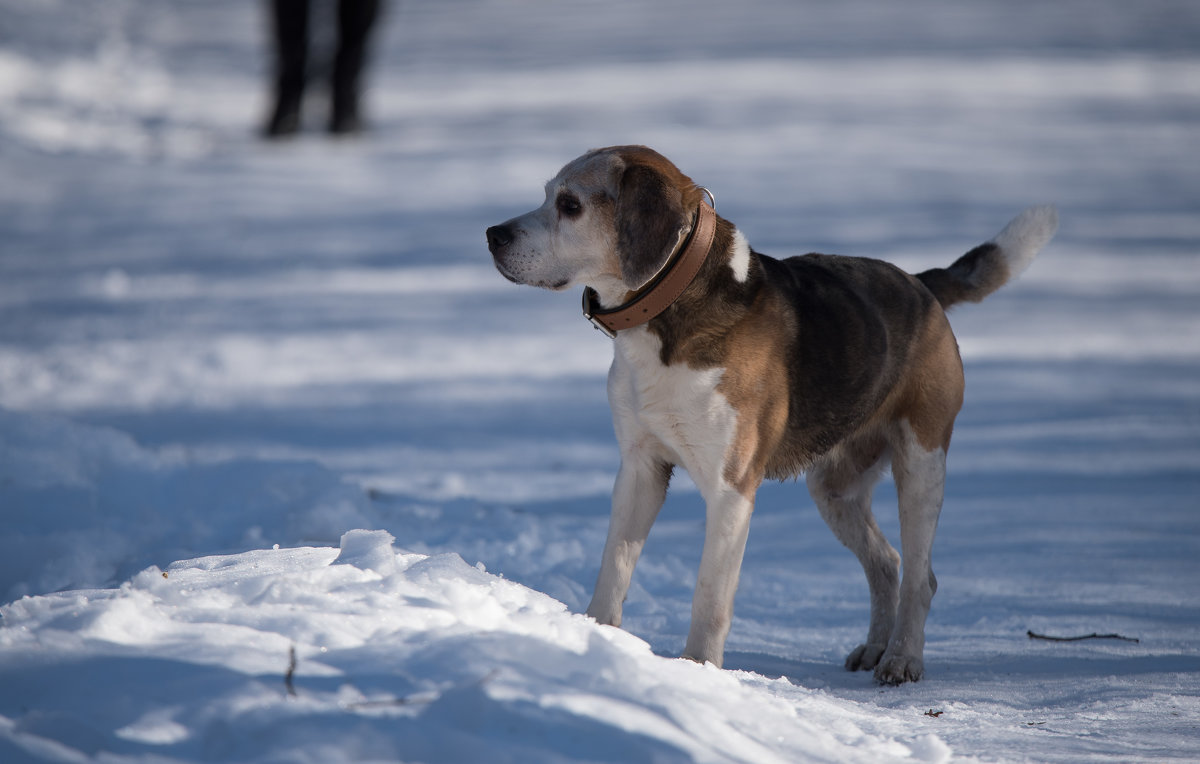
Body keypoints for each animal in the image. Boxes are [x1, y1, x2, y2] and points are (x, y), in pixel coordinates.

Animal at [482, 145, 1056, 681]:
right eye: (547, 195)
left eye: (570, 205)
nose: (492, 234)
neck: (669, 311)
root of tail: (921, 284)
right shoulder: (640, 469)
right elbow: (613, 570)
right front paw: (595, 643)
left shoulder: (731, 488)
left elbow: (710, 596)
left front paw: (698, 670)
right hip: (834, 491)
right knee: (886, 564)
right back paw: (875, 647)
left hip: (921, 463)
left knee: (920, 576)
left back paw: (901, 658)